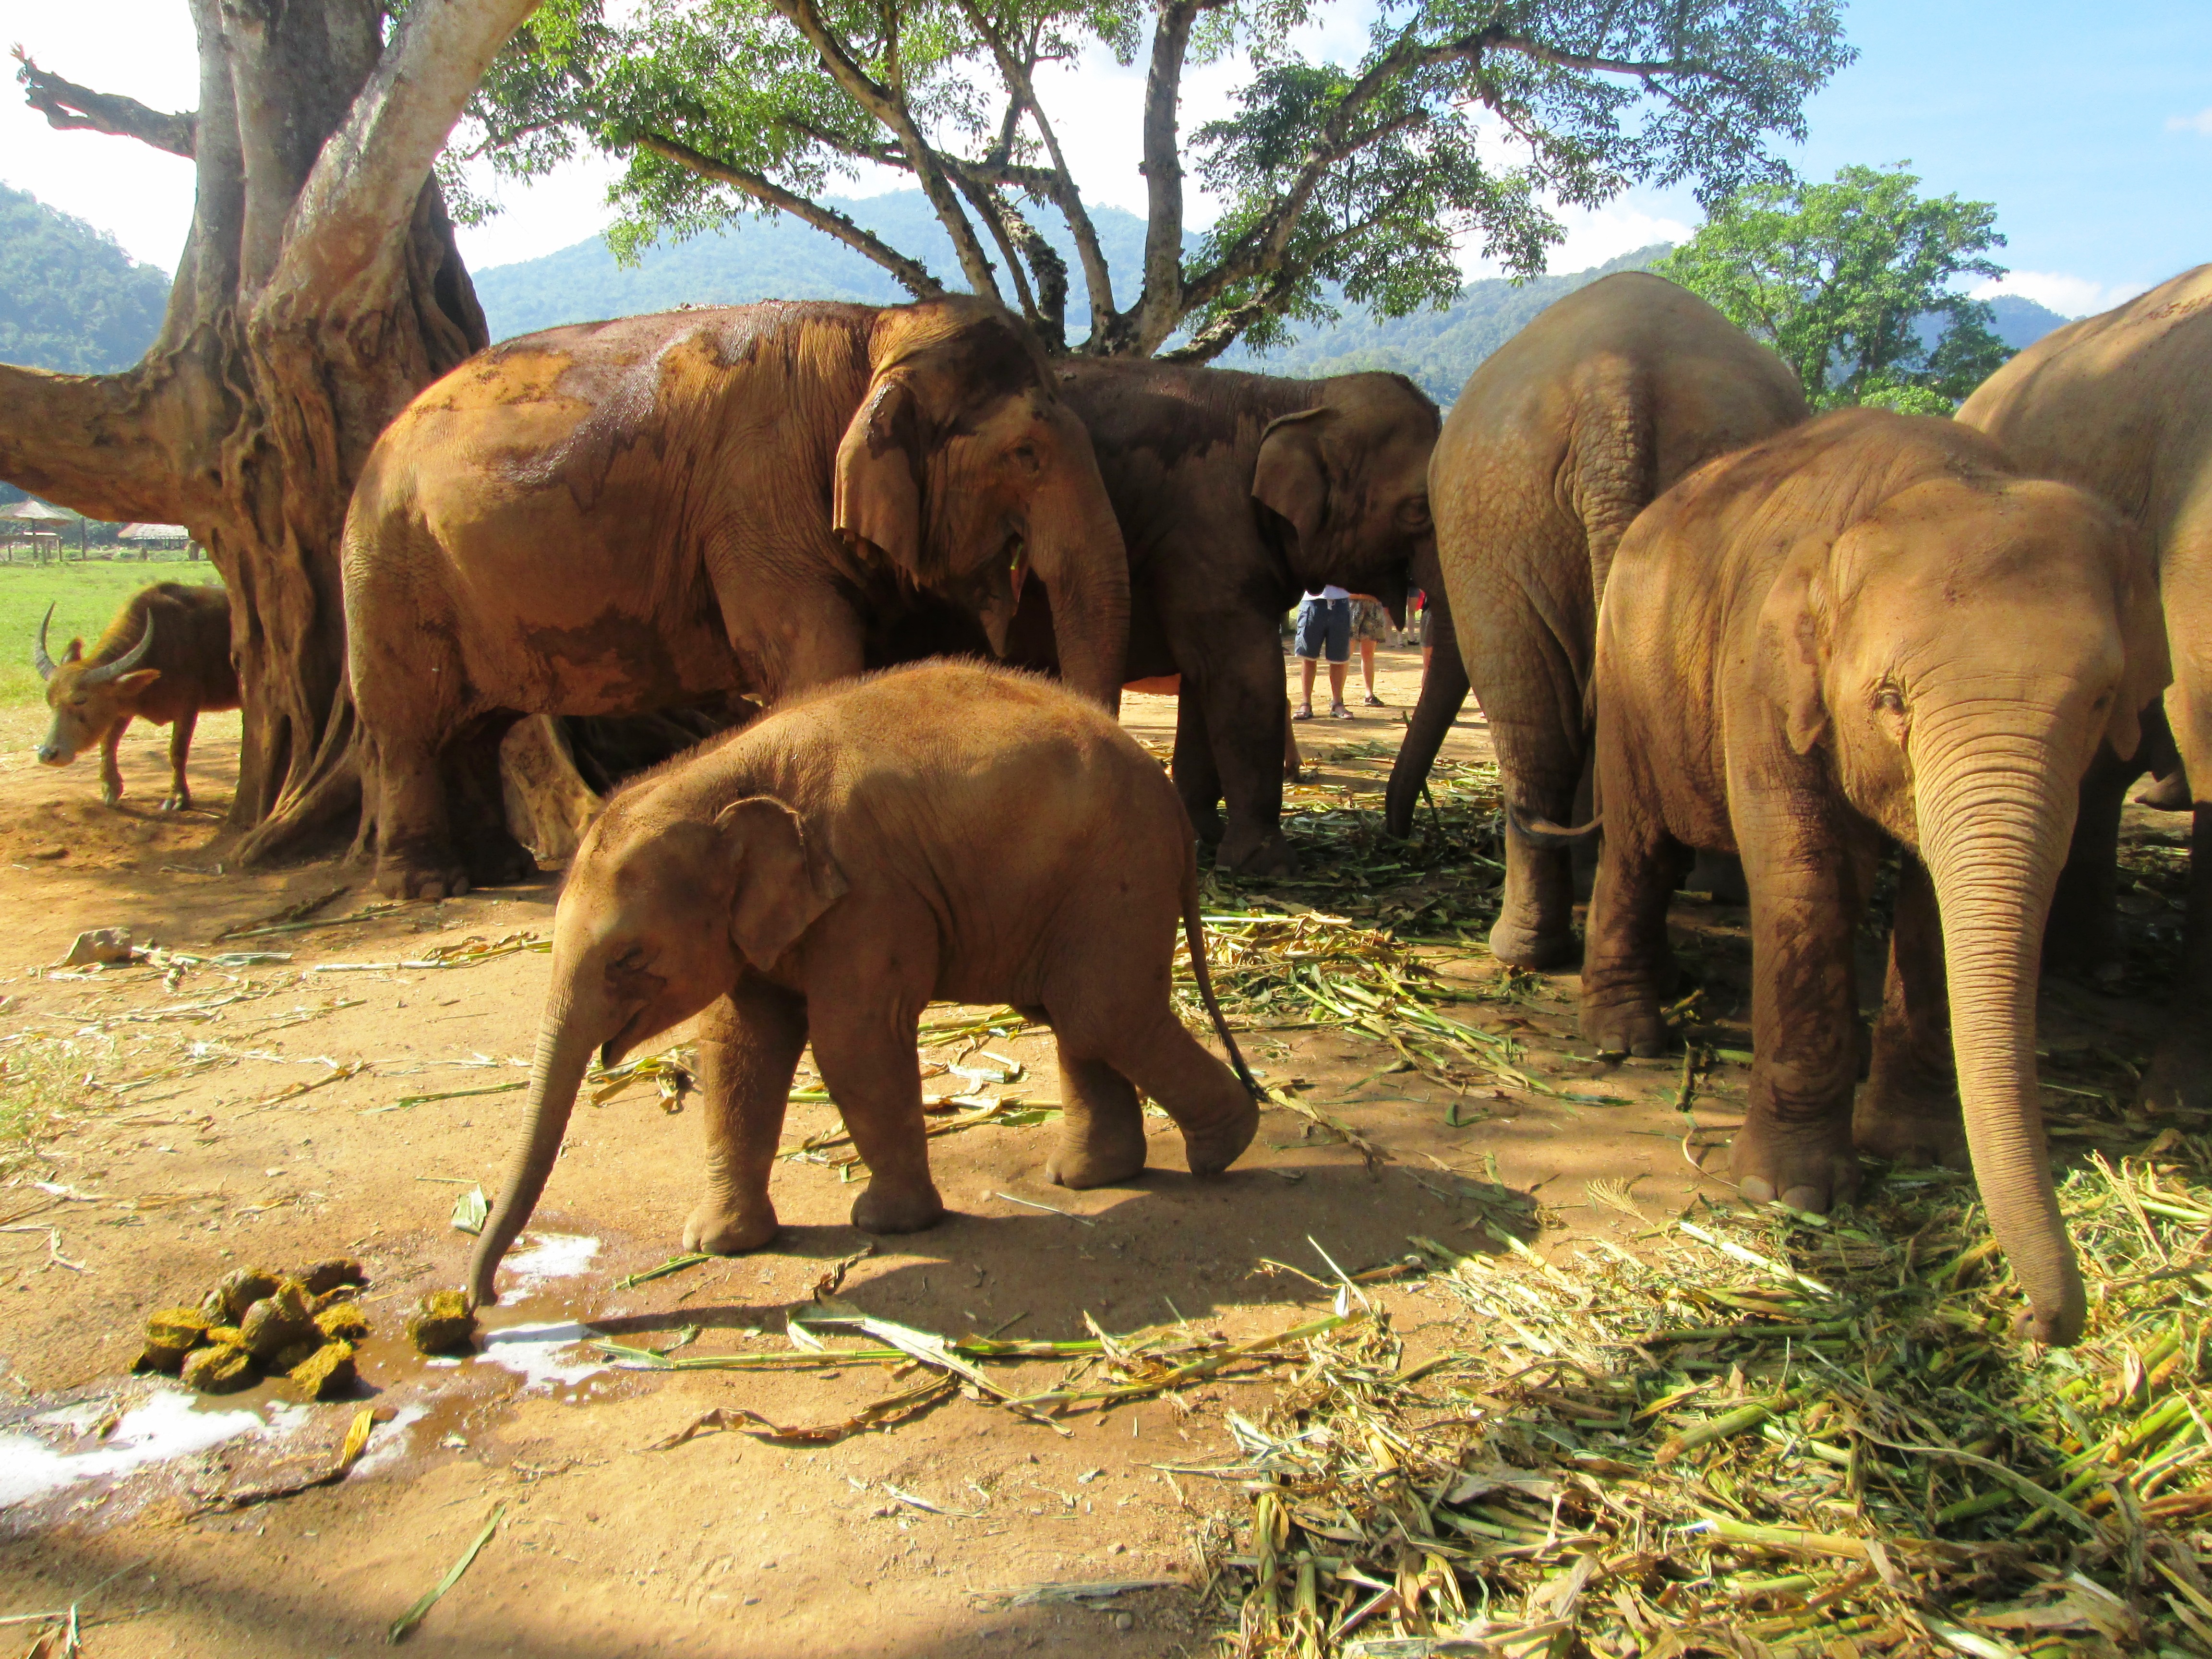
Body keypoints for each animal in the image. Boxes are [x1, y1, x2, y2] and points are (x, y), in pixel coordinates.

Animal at [342, 298, 1131, 901]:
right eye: (1025, 455)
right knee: (408, 728)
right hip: (385, 572)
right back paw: (426, 886)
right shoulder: (757, 496)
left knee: (476, 728)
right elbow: (811, 649)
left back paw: (496, 870)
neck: (875, 331)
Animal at [466, 660, 1263, 1305]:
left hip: (1116, 872)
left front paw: (890, 1225)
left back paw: (1223, 1150)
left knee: (1102, 1013)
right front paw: (717, 1243)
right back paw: (1089, 1179)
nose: (477, 1308)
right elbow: (738, 1047)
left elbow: (852, 1042)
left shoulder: (870, 894)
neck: (727, 772)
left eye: (629, 958)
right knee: (1074, 1015)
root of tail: (1170, 802)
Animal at [1389, 271, 1807, 963]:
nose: (1403, 835)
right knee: (1547, 727)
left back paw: (1532, 947)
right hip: (1509, 514)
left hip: (1501, 519)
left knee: (1536, 727)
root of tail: (1615, 394)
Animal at [1573, 409, 2168, 1345]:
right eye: (1892, 699)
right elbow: (1806, 870)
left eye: (2102, 702)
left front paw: (1918, 1151)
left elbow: (1931, 906)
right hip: (1632, 682)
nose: (2043, 1325)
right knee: (1642, 845)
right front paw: (1790, 1194)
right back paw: (1624, 1041)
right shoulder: (1763, 675)